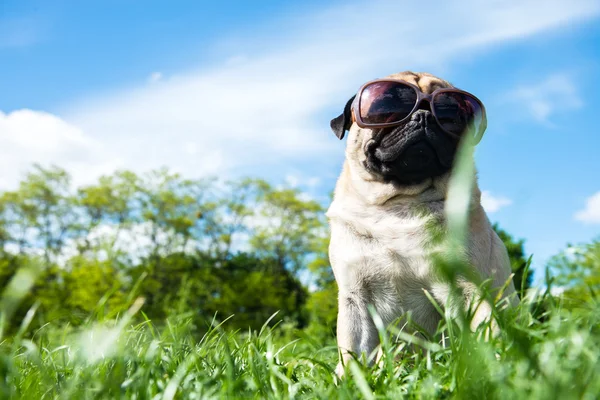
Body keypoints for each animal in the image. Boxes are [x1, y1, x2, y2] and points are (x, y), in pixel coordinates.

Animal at [326, 71, 516, 376]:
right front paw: (347, 380)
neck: (401, 205)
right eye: (387, 108)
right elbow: (352, 351)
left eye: (452, 115)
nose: (425, 114)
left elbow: (487, 333)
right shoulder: (355, 298)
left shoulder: (468, 288)